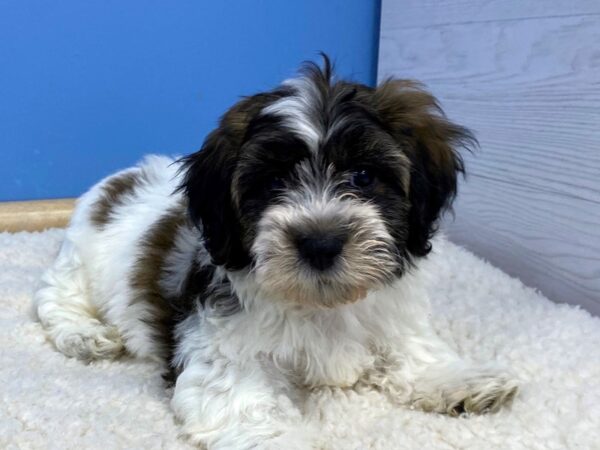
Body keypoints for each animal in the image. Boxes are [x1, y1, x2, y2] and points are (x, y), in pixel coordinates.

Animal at [35, 58, 516, 448]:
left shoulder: (391, 312)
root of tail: (120, 178)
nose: (320, 242)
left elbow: (412, 347)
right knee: (53, 298)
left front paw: (460, 379)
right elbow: (247, 406)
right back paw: (85, 335)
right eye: (272, 183)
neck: (321, 304)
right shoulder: (223, 353)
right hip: (79, 259)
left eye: (363, 176)